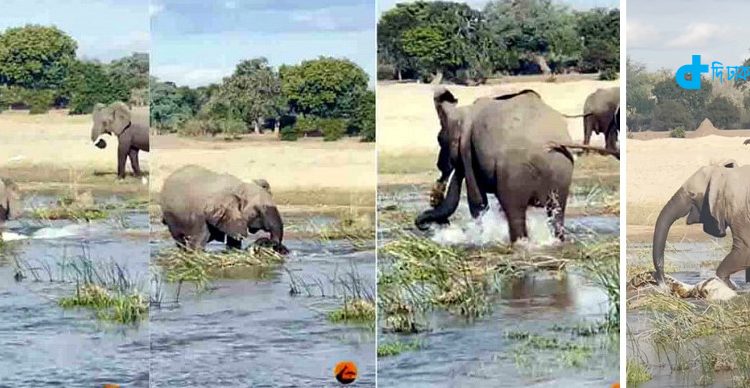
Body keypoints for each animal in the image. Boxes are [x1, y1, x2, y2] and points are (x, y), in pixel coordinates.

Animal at [414, 88, 580, 242]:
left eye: (439, 139)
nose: (426, 226)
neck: (463, 111)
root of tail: (549, 143)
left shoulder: (467, 147)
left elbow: (477, 201)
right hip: (562, 168)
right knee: (557, 212)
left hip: (514, 171)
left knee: (514, 211)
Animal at [652, 160, 750, 288]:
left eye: (692, 194)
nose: (662, 281)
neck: (724, 175)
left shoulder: (740, 208)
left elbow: (744, 249)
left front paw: (728, 285)